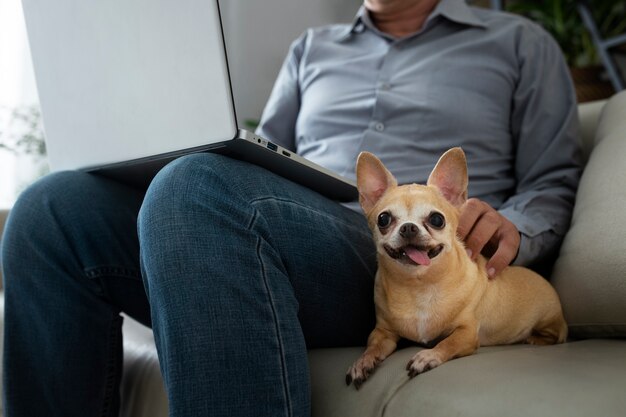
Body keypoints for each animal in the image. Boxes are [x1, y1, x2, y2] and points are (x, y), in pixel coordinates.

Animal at [346, 148, 564, 388]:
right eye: (383, 219)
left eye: (436, 219)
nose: (408, 227)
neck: (419, 285)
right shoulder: (383, 332)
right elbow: (373, 345)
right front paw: (363, 361)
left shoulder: (467, 333)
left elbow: (447, 343)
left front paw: (428, 356)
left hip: (549, 322)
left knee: (555, 336)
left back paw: (534, 338)